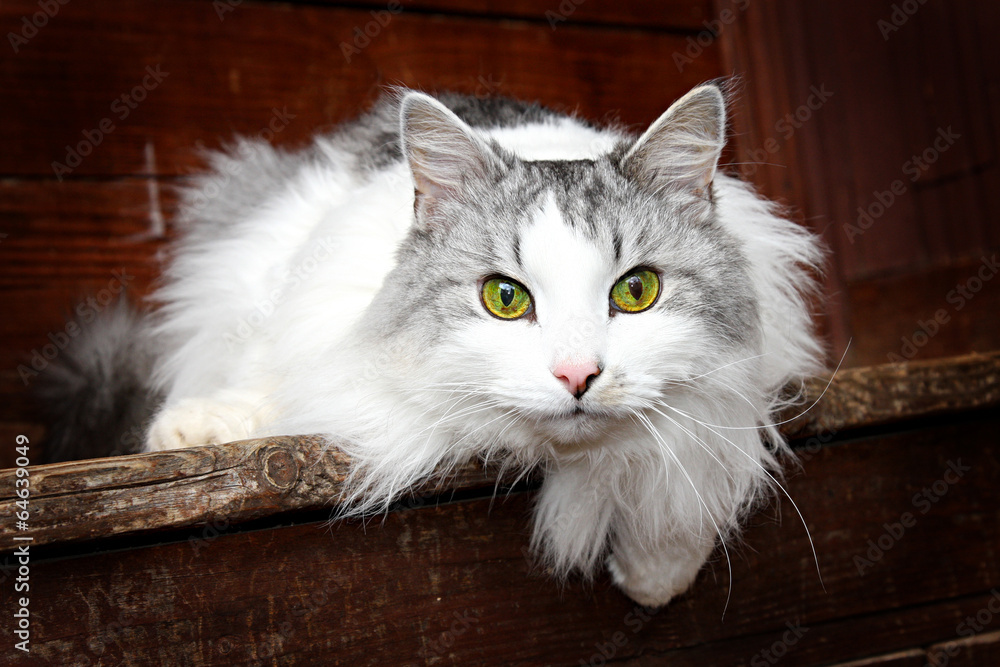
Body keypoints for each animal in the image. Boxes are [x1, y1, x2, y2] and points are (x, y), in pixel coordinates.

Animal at [43, 82, 824, 604]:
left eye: (636, 292)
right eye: (505, 298)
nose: (577, 376)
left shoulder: (741, 387)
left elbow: (690, 479)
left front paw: (654, 576)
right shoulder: (315, 306)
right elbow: (283, 376)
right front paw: (199, 426)